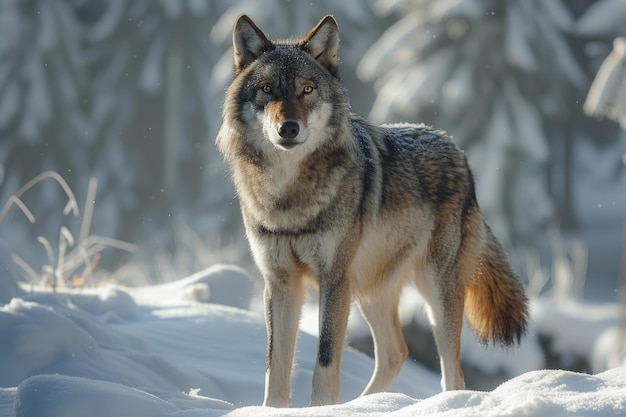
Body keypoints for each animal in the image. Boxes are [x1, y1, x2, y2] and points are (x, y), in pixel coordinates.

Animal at [214, 13, 528, 406]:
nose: (288, 128)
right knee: (396, 352)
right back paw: (368, 404)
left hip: (433, 291)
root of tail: (455, 147)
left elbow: (325, 359)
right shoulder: (281, 283)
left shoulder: (333, 278)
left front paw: (322, 410)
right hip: (368, 289)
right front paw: (274, 410)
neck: (289, 196)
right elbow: (276, 368)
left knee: (451, 372)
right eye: (268, 89)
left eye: (307, 89)